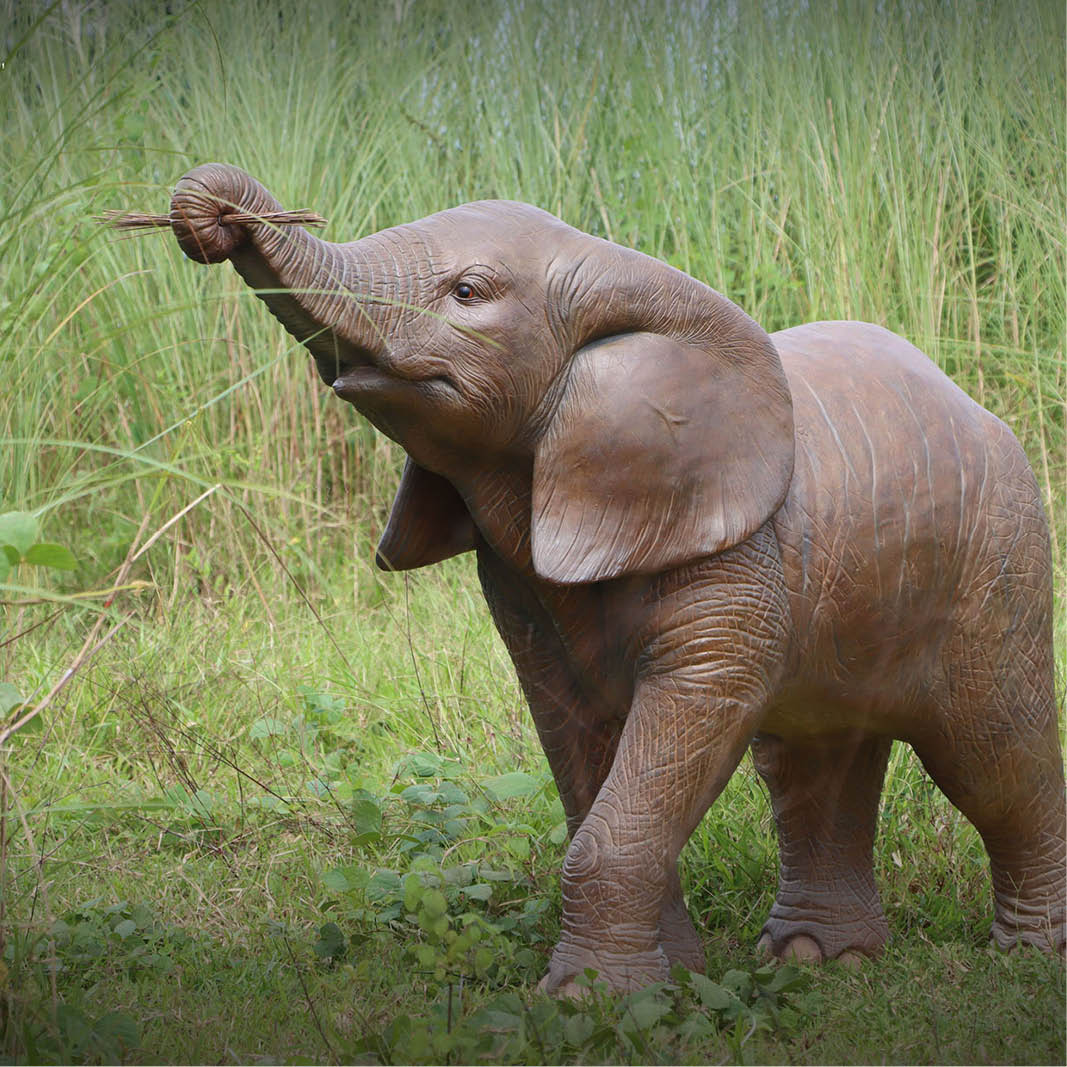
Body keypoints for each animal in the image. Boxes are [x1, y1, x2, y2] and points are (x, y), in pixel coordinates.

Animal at [167, 163, 1065, 994]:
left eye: (467, 292)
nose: (213, 215)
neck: (613, 265)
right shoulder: (523, 583)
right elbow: (578, 738)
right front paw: (663, 981)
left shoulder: (732, 551)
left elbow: (689, 714)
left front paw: (587, 1000)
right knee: (815, 760)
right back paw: (819, 960)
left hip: (997, 559)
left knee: (994, 758)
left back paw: (1027, 954)